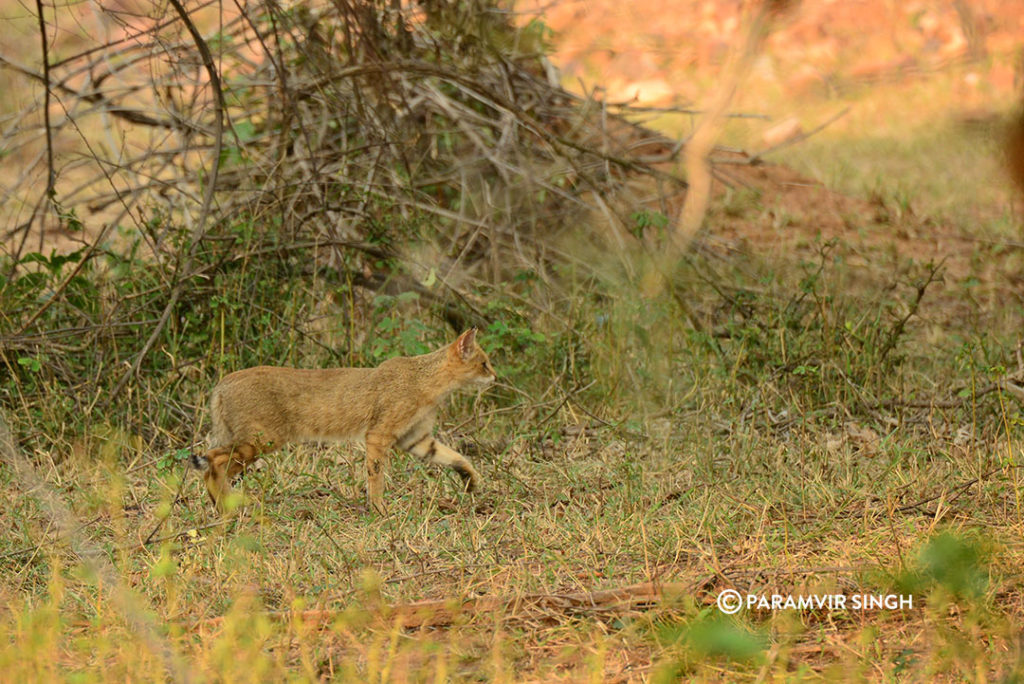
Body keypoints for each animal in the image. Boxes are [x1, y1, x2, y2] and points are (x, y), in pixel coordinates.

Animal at [193, 329, 497, 511]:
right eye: (484, 363)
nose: (495, 377)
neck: (426, 382)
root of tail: (222, 383)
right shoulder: (379, 435)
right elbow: (376, 477)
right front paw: (379, 510)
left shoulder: (416, 439)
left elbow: (456, 457)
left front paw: (471, 481)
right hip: (261, 441)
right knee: (214, 463)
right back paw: (227, 508)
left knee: (211, 465)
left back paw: (224, 506)